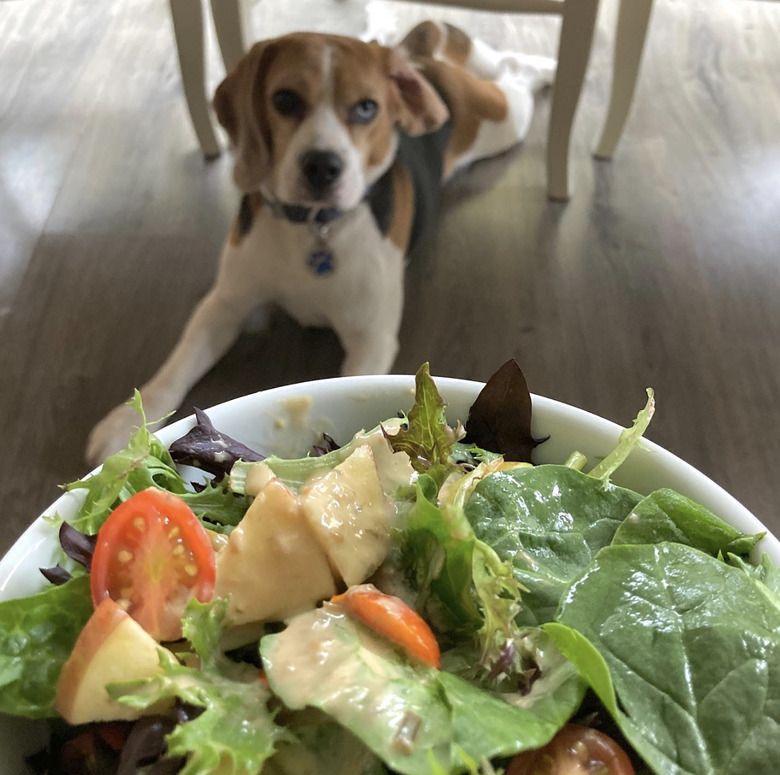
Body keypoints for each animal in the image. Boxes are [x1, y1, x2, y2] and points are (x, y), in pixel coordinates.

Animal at [87, 21, 556, 464]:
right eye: (285, 100)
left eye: (366, 107)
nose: (322, 167)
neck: (313, 229)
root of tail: (408, 56)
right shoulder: (225, 304)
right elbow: (176, 367)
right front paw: (126, 427)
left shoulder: (371, 339)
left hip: (502, 119)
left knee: (514, 73)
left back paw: (545, 69)